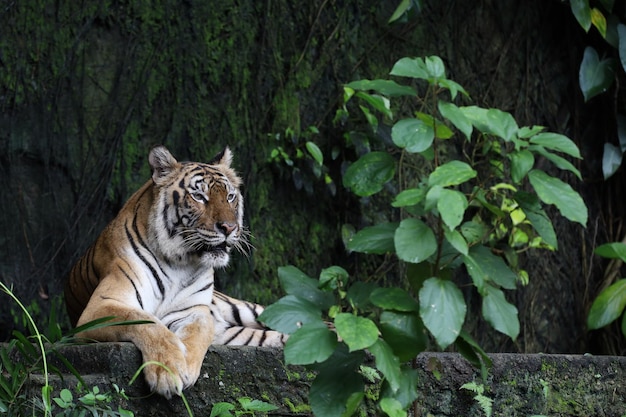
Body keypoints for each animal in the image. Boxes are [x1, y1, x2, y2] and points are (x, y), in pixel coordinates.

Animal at [65, 145, 286, 396]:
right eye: (199, 197)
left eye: (230, 197)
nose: (230, 228)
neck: (180, 263)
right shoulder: (100, 307)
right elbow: (146, 321)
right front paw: (168, 371)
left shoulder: (195, 310)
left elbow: (198, 331)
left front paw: (185, 363)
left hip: (252, 311)